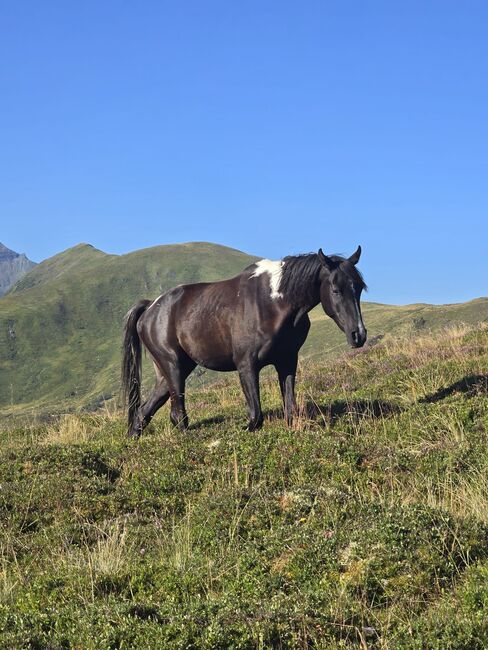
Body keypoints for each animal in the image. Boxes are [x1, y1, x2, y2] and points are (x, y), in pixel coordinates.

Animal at [122, 246, 367, 437]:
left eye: (359, 289)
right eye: (335, 290)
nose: (359, 335)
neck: (274, 303)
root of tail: (151, 307)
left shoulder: (287, 362)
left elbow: (290, 410)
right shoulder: (247, 365)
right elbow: (256, 416)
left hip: (173, 371)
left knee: (143, 412)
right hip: (173, 367)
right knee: (177, 415)